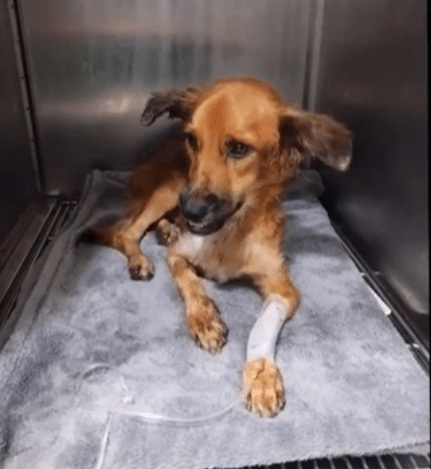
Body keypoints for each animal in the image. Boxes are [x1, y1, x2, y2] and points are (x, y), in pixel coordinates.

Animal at [83, 77, 351, 417]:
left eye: (239, 148)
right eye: (192, 140)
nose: (191, 211)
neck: (228, 233)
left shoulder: (283, 287)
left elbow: (263, 327)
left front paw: (261, 375)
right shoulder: (179, 255)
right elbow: (189, 283)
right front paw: (205, 319)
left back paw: (167, 229)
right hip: (170, 190)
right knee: (125, 232)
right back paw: (141, 258)